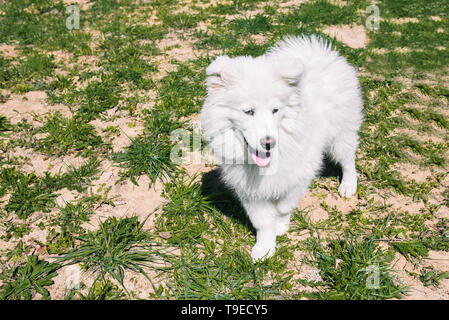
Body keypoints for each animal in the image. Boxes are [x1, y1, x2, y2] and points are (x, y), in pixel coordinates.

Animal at [201, 35, 362, 262]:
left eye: (275, 110)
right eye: (248, 111)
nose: (269, 142)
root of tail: (319, 53)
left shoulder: (298, 179)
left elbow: (284, 207)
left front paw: (281, 225)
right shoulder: (249, 191)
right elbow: (262, 222)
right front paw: (264, 248)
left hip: (340, 134)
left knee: (348, 159)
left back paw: (348, 185)